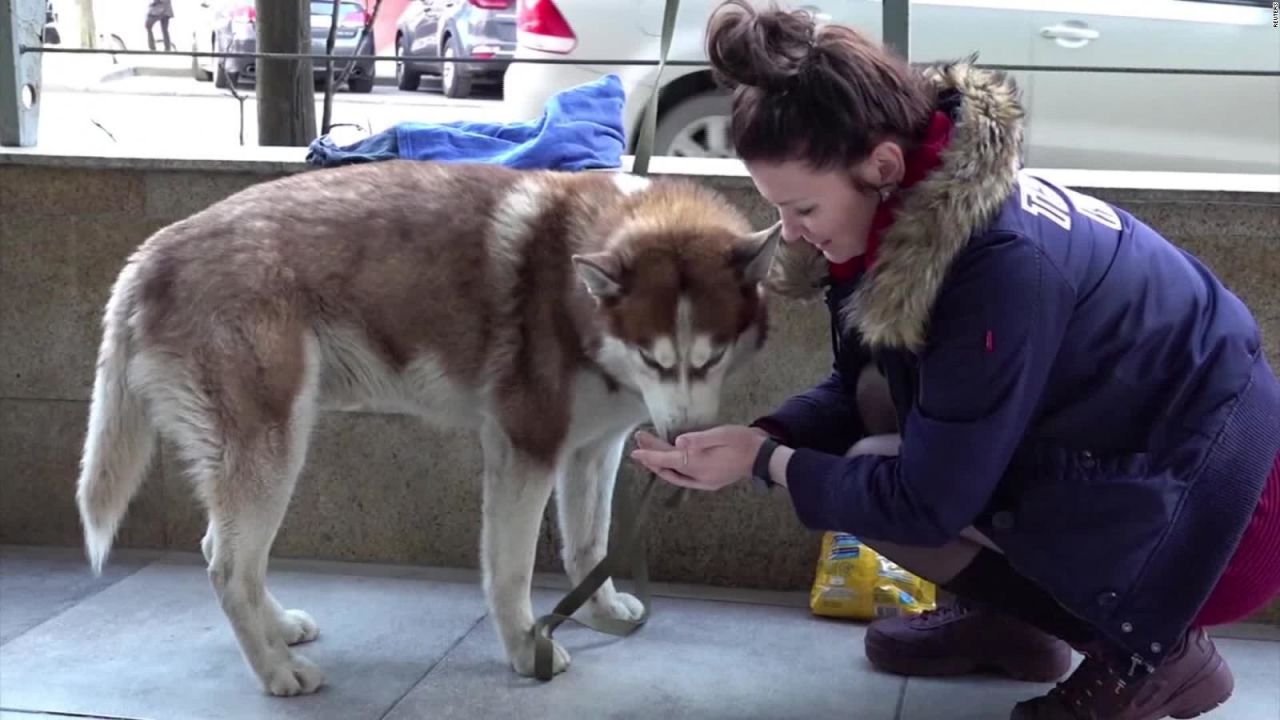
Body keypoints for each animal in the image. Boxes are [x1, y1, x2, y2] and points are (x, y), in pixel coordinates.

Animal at [80, 158, 783, 696]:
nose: (683, 437)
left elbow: (590, 545)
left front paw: (602, 611)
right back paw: (278, 670)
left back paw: (278, 630)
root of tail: (150, 254)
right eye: (654, 358)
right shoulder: (524, 448)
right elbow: (510, 571)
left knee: (220, 552)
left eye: (712, 357)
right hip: (272, 449)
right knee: (229, 569)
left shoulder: (593, 449)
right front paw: (526, 648)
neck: (573, 294)